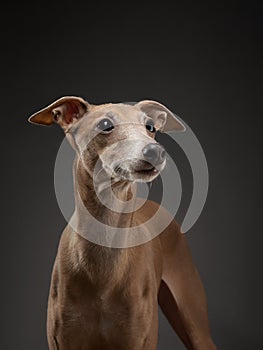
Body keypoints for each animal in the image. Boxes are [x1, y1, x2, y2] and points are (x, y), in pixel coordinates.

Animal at [29, 97, 217, 350]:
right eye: (105, 124)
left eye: (150, 127)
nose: (156, 152)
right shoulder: (64, 339)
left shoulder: (138, 338)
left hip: (192, 317)